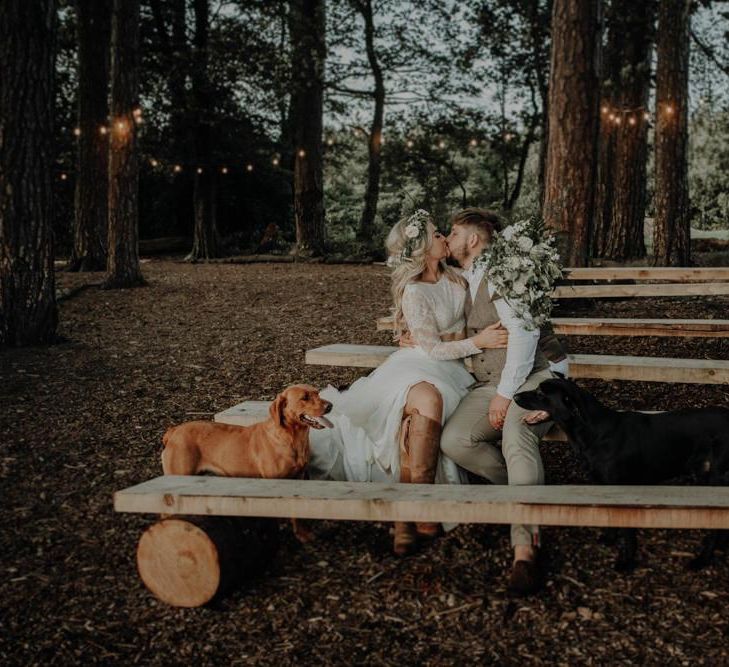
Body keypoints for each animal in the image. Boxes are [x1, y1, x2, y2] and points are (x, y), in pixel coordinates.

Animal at [512, 378, 728, 572]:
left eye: (541, 393)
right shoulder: (604, 486)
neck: (594, 433)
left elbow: (628, 532)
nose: (514, 395)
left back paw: (702, 560)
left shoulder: (623, 491)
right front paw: (610, 538)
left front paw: (627, 562)